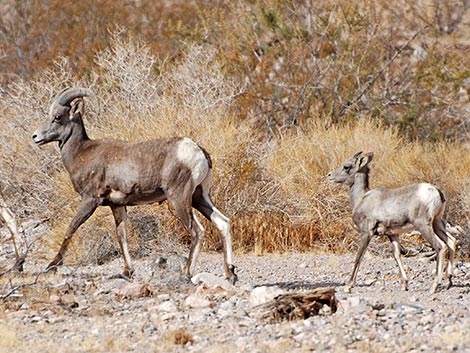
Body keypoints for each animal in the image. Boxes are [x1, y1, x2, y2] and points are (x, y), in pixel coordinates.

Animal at [32, 87, 237, 284]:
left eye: (57, 117)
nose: (35, 136)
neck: (81, 153)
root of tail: (199, 151)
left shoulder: (90, 201)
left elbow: (72, 227)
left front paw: (52, 266)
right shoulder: (117, 205)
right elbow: (121, 235)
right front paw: (127, 271)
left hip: (179, 198)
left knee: (196, 231)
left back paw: (187, 272)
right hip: (199, 197)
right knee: (222, 222)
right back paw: (230, 274)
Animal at [326, 151, 456, 292]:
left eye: (346, 166)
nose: (329, 175)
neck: (361, 198)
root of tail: (437, 192)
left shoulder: (366, 233)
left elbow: (359, 257)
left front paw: (348, 286)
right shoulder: (392, 234)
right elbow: (397, 255)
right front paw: (404, 284)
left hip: (423, 226)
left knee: (440, 247)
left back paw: (433, 286)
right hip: (437, 223)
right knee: (451, 242)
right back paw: (449, 281)